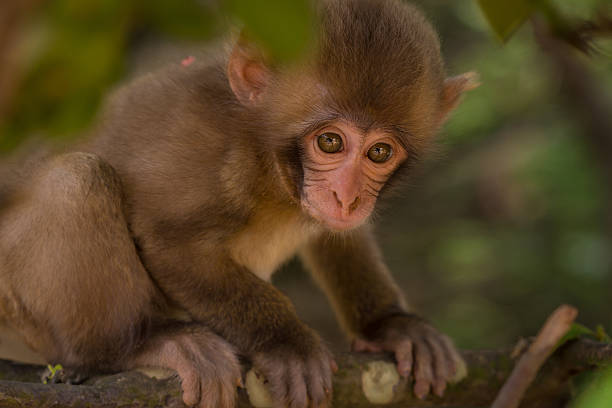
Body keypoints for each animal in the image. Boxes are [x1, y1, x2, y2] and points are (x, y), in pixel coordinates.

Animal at [0, 0, 478, 406]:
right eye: (330, 142)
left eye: (379, 152)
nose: (346, 197)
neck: (269, 163)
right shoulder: (212, 157)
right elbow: (172, 244)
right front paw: (287, 343)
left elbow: (339, 236)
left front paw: (390, 325)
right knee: (74, 178)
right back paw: (139, 344)